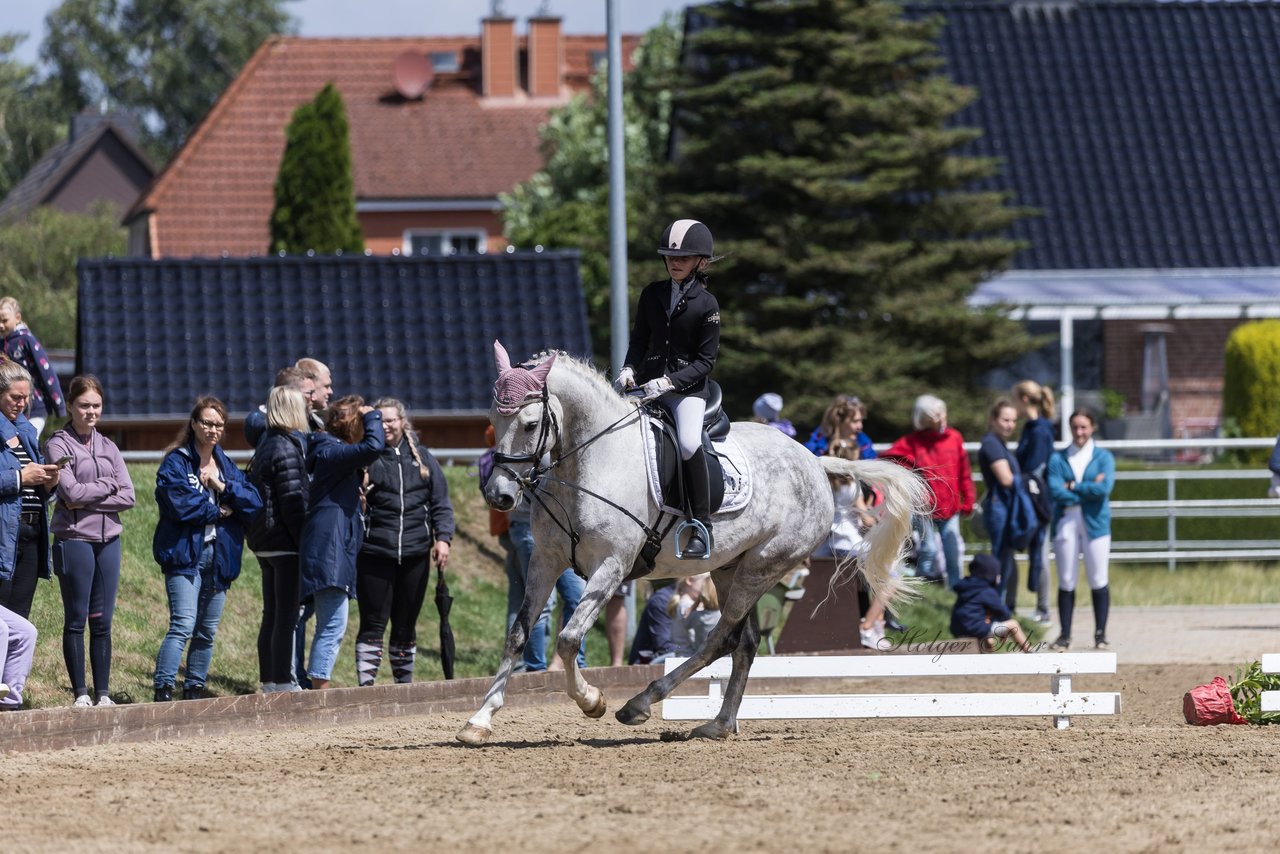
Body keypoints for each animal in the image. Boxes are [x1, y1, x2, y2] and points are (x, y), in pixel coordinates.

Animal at [460, 343, 931, 742]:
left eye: (530, 424)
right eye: (491, 421)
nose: (499, 495)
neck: (589, 464)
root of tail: (814, 461)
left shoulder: (611, 566)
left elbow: (569, 639)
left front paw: (592, 701)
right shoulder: (545, 559)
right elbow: (518, 634)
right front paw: (479, 720)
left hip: (763, 565)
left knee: (719, 639)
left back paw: (641, 704)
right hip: (728, 568)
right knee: (744, 642)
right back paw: (718, 724)